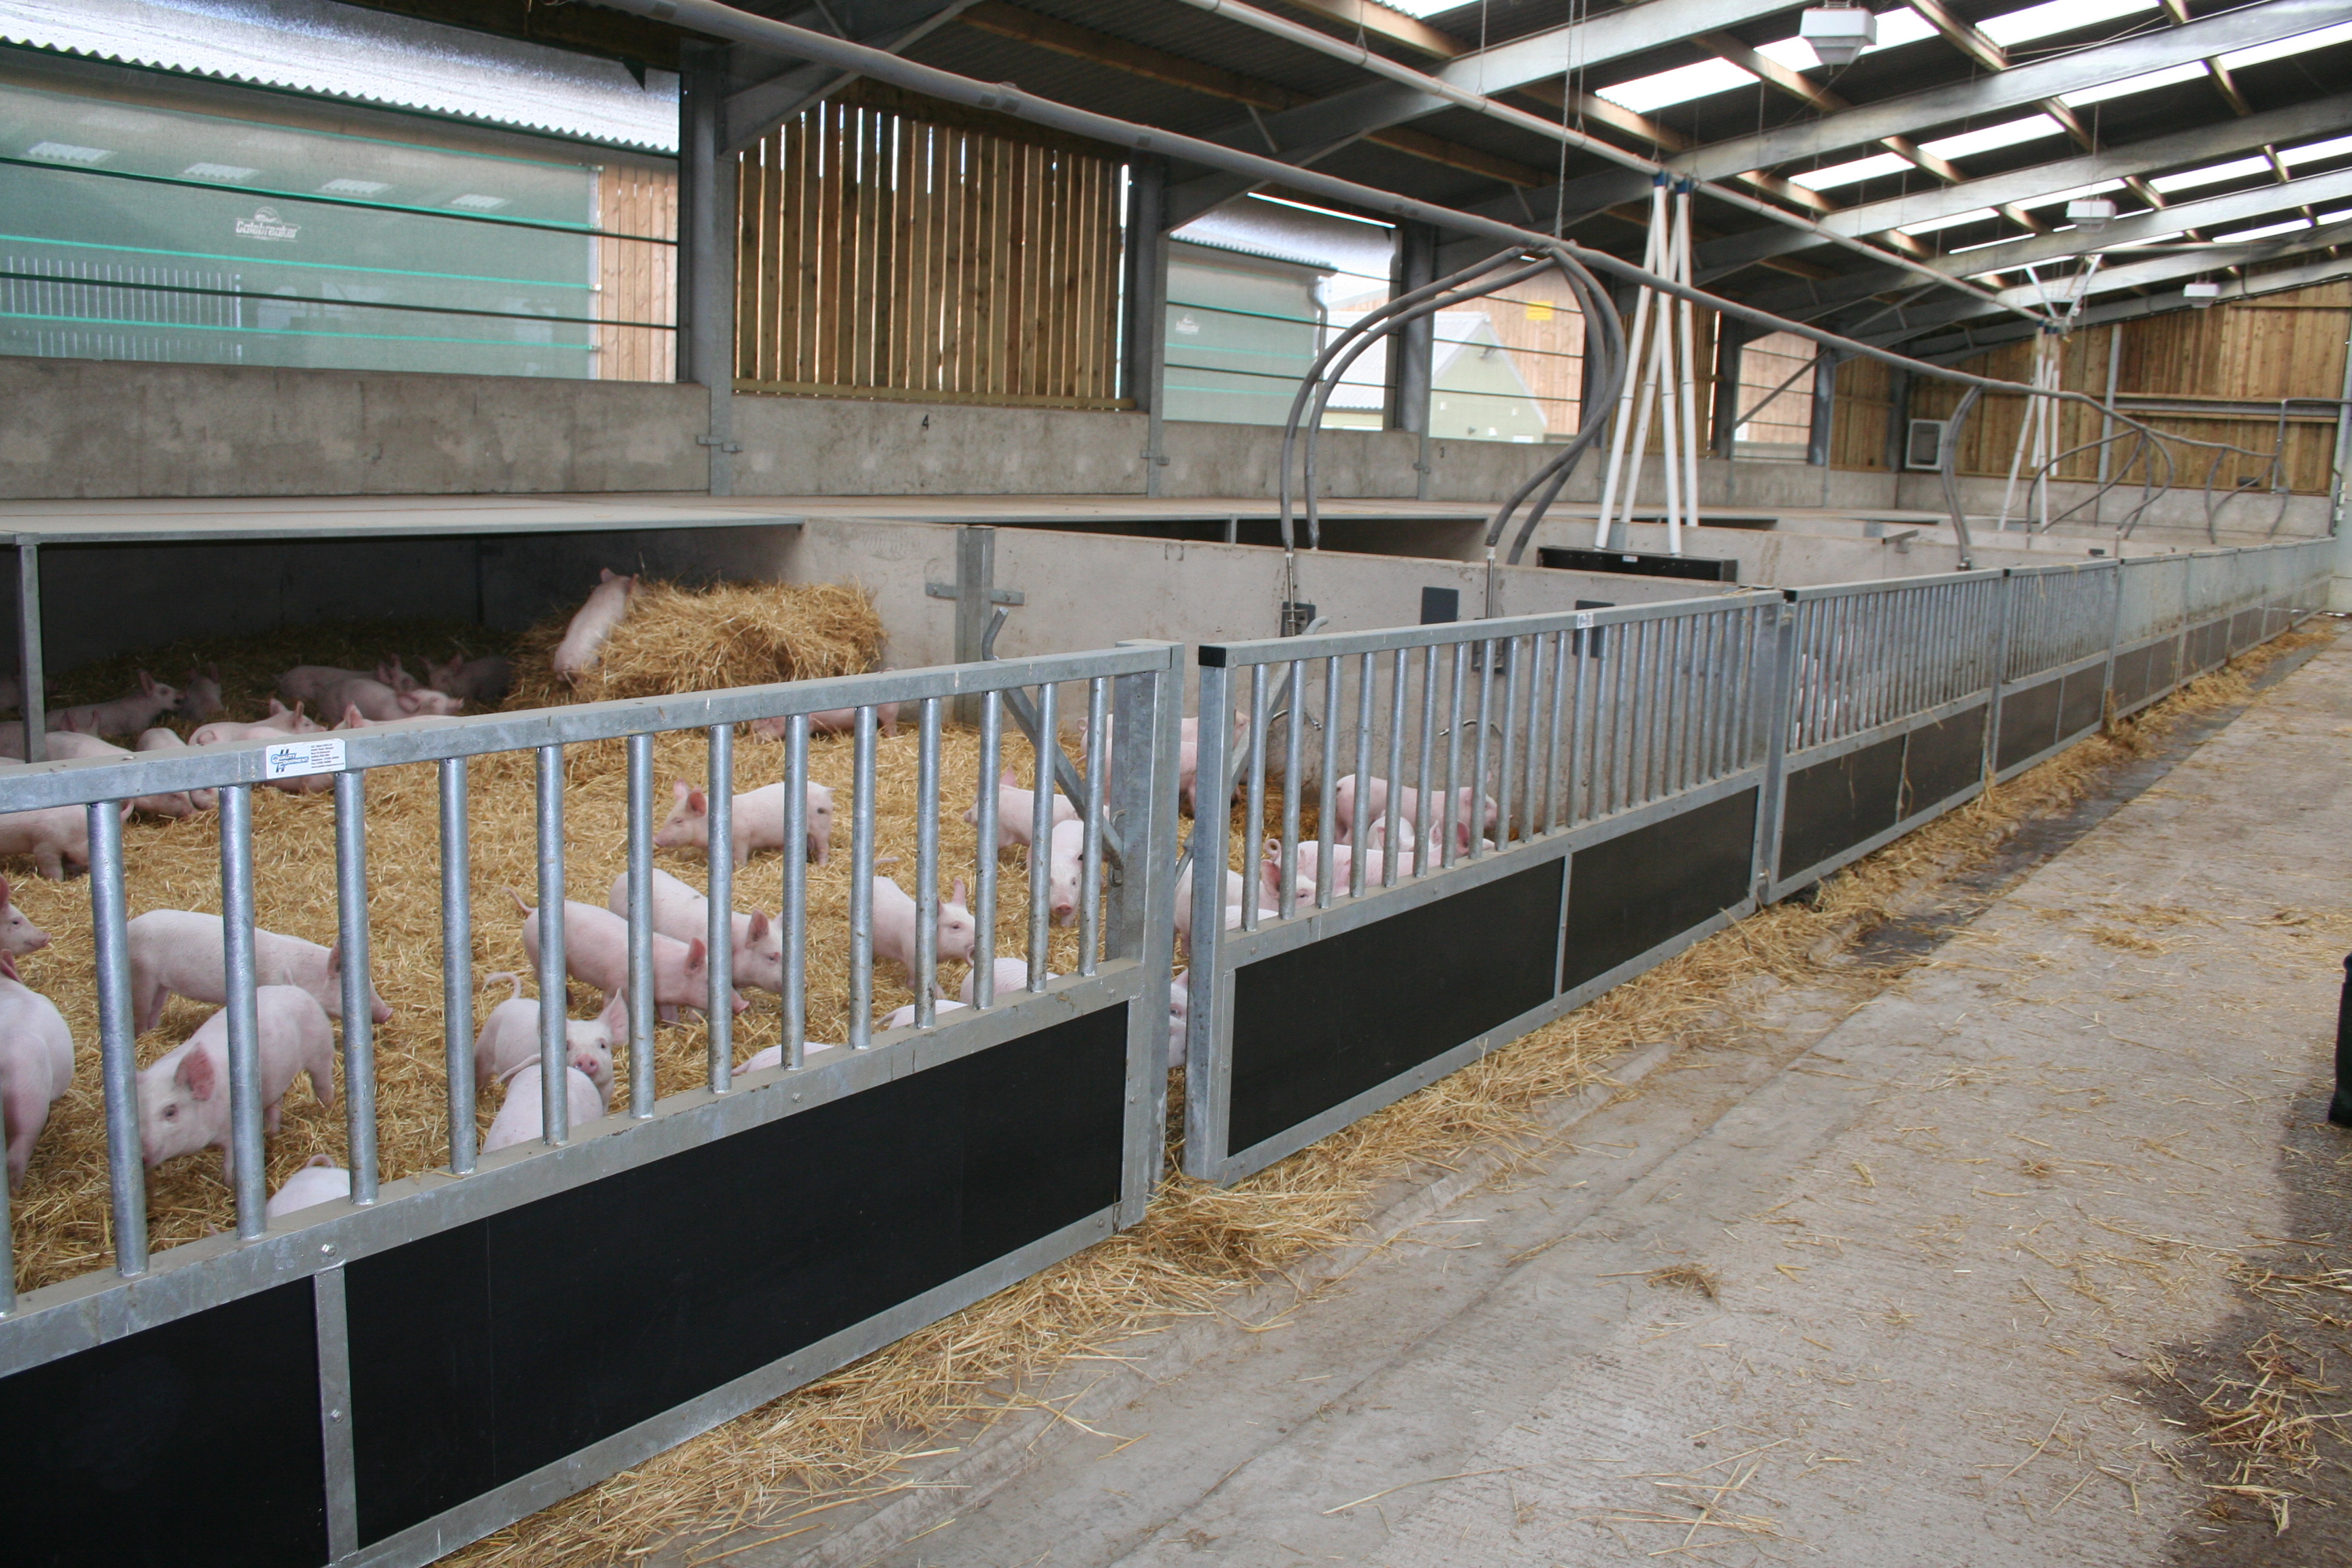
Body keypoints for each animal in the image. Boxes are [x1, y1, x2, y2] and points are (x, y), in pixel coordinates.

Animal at [136, 986, 335, 1178]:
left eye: (170, 1111)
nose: (141, 1157)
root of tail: (296, 990)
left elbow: (230, 1166)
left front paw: (229, 1183)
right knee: (275, 1104)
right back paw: (272, 1133)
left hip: (321, 1050)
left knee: (323, 1085)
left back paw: (326, 1113)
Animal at [508, 891, 743, 1018]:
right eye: (707, 982)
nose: (743, 1005)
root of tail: (535, 912)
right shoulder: (614, 985)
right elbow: (612, 1005)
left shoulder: (666, 999)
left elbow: (670, 1016)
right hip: (537, 955)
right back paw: (569, 1002)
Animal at [653, 780, 834, 866]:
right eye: (669, 816)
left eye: (679, 820)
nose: (656, 839)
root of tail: (825, 789)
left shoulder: (742, 837)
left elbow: (740, 858)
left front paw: (738, 869)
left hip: (822, 826)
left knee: (823, 847)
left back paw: (821, 867)